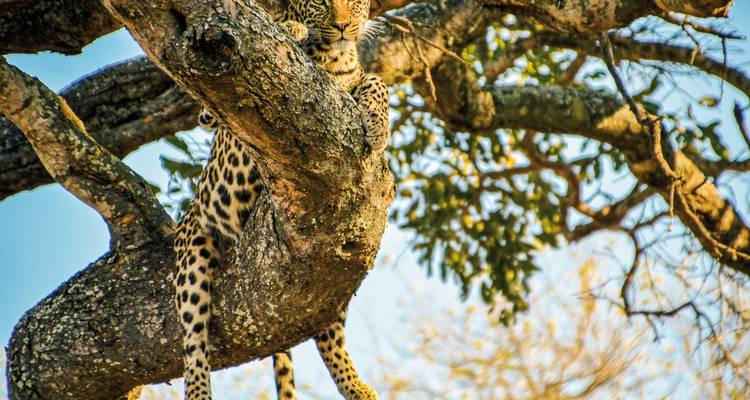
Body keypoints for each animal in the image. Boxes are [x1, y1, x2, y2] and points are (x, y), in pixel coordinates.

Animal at [172, 0, 389, 399]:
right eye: (319, 3)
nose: (341, 26)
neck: (334, 58)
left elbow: (376, 81)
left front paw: (378, 126)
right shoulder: (210, 114)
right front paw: (292, 28)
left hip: (334, 275)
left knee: (325, 328)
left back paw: (356, 386)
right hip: (193, 250)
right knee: (194, 347)